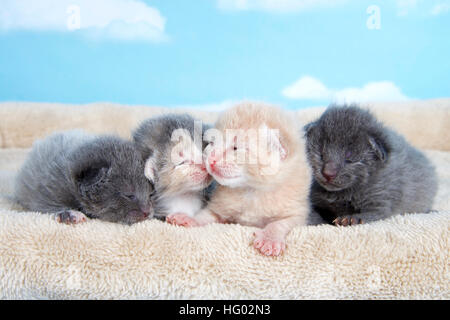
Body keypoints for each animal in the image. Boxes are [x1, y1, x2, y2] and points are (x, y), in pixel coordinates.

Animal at [14, 130, 155, 225]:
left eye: (150, 194)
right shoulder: (48, 190)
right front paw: (69, 214)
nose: (148, 212)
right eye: (129, 195)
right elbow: (48, 206)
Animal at [167, 102, 312, 258]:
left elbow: (279, 224)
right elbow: (205, 215)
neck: (250, 191)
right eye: (212, 143)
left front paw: (270, 239)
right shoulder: (219, 209)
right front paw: (189, 218)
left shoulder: (298, 214)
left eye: (236, 148)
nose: (211, 159)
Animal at [304, 104, 438, 225]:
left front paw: (351, 218)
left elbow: (372, 213)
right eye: (320, 154)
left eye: (349, 158)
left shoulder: (381, 201)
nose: (328, 173)